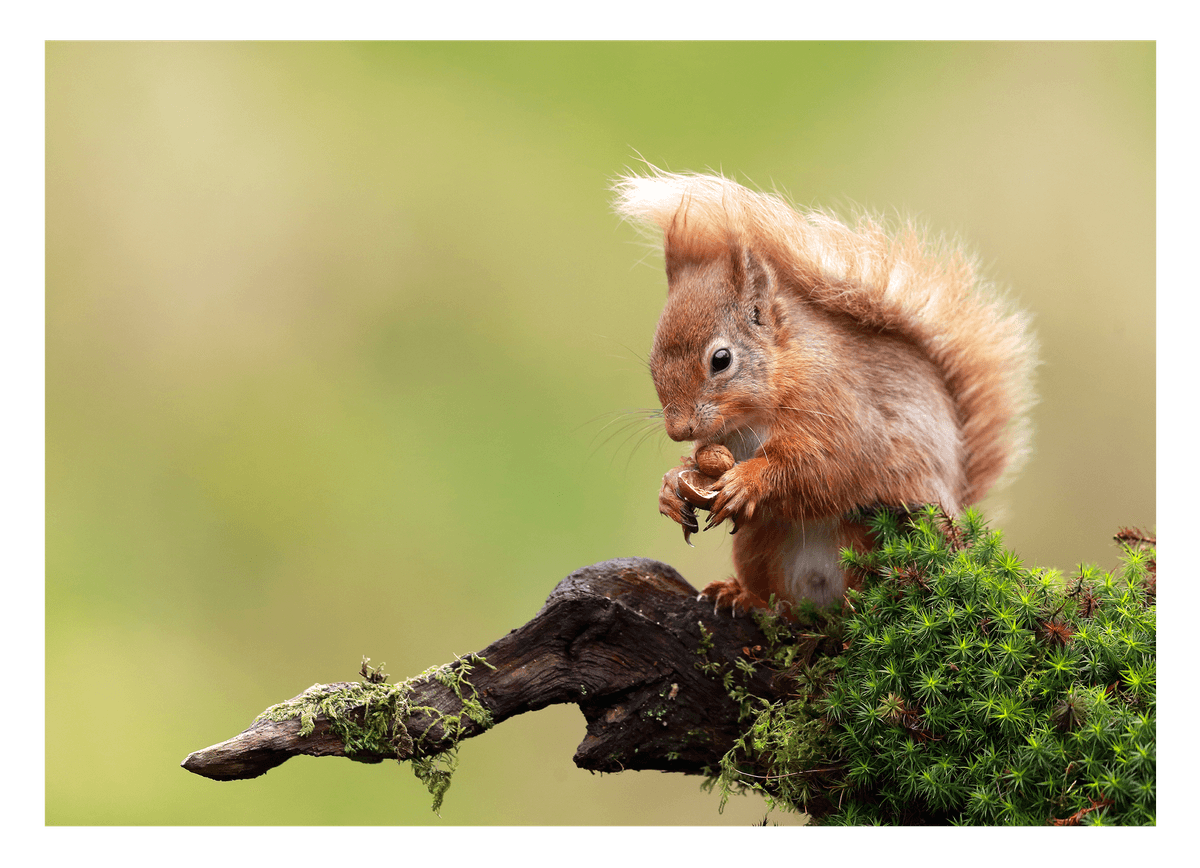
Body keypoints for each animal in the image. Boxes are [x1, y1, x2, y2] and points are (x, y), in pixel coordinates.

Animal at [612, 169, 1036, 612]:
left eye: (721, 359)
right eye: (652, 362)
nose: (678, 430)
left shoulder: (841, 408)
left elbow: (826, 464)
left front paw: (747, 481)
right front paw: (670, 486)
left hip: (884, 534)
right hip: (757, 544)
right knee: (777, 600)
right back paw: (742, 595)